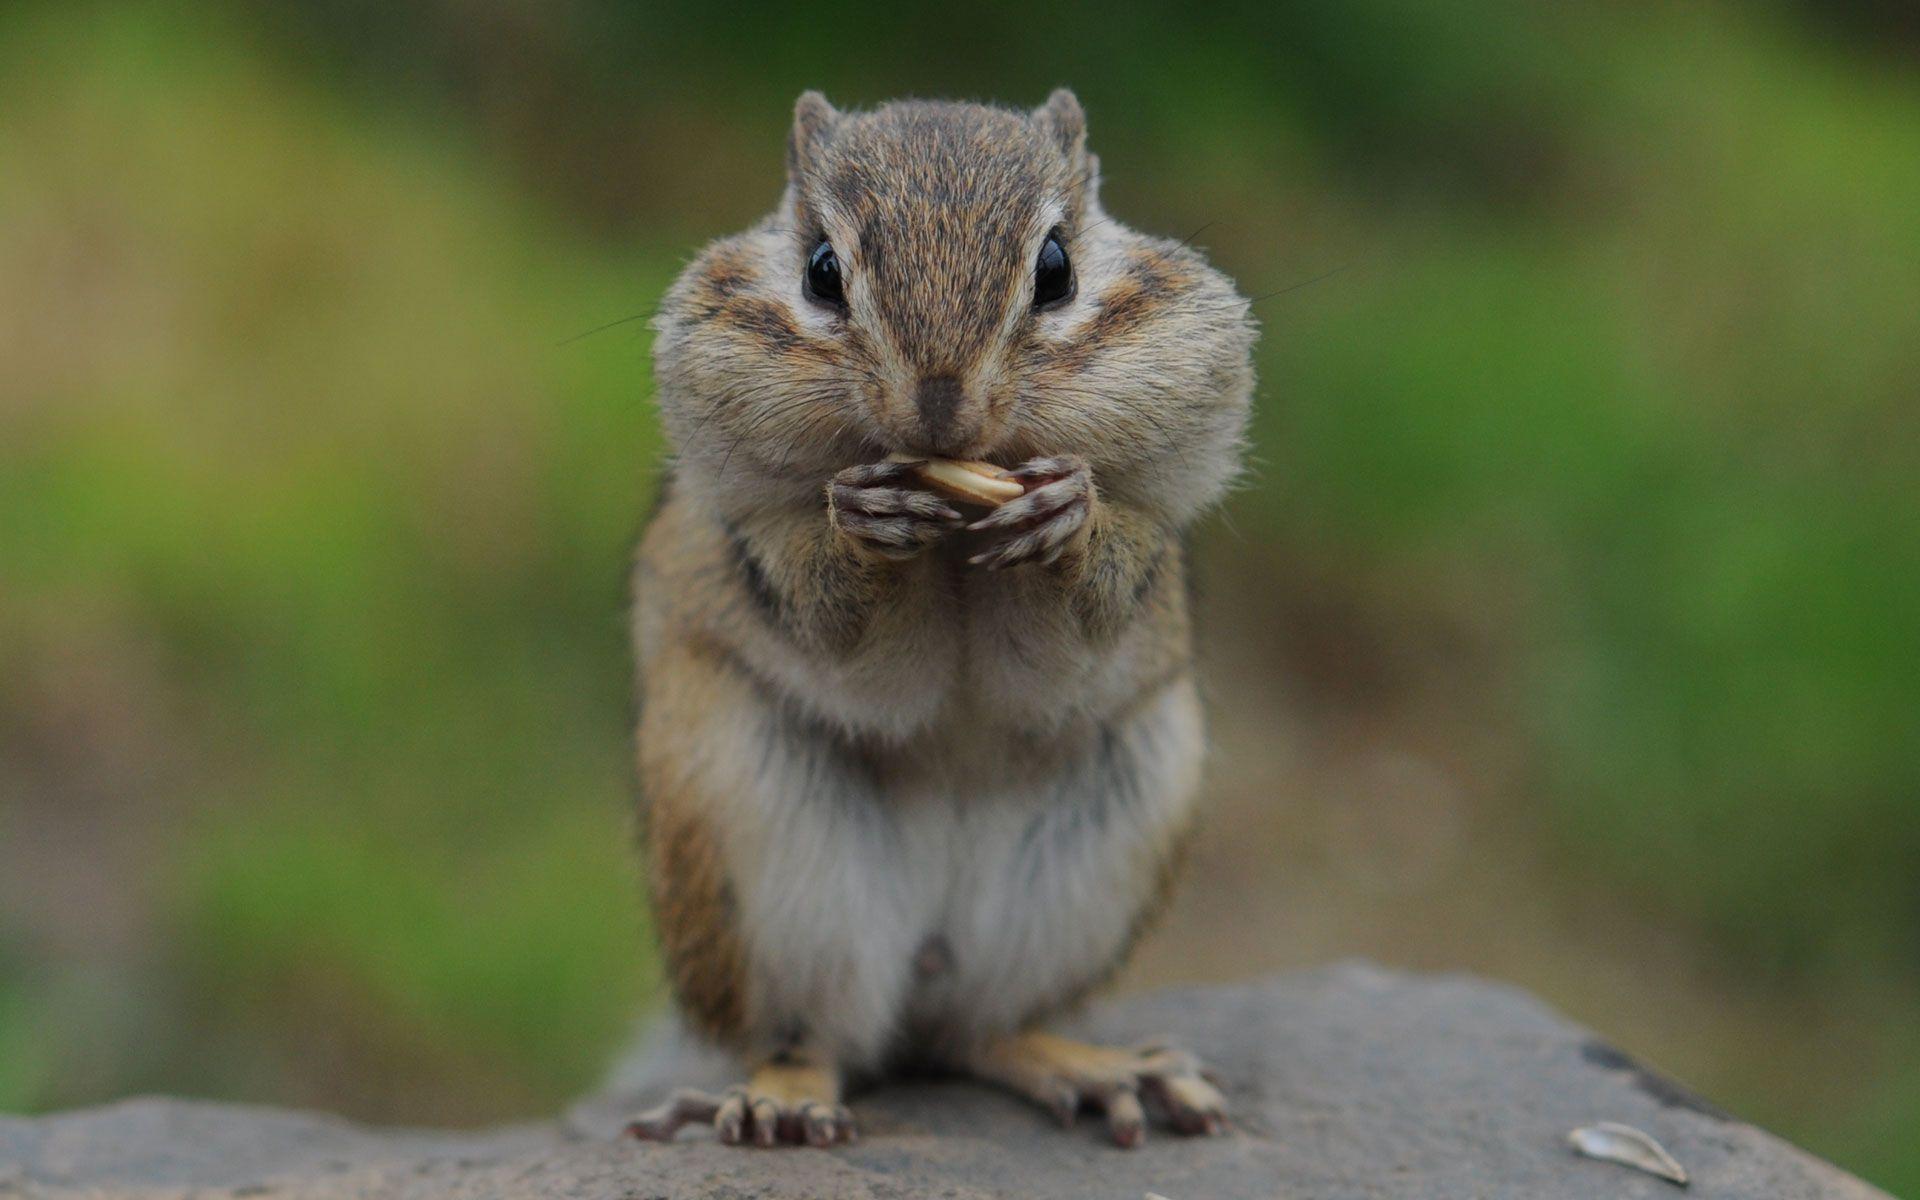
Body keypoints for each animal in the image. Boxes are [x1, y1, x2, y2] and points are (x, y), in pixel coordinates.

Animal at [623, 88, 1256, 1150]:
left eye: (1056, 270)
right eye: (822, 271)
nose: (939, 409)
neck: (955, 545)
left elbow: (1087, 611)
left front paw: (1068, 518)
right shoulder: (759, 548)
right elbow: (836, 618)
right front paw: (863, 527)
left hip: (1111, 836)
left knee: (983, 1032)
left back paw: (1098, 1069)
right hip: (754, 851)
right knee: (815, 1033)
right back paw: (782, 1097)